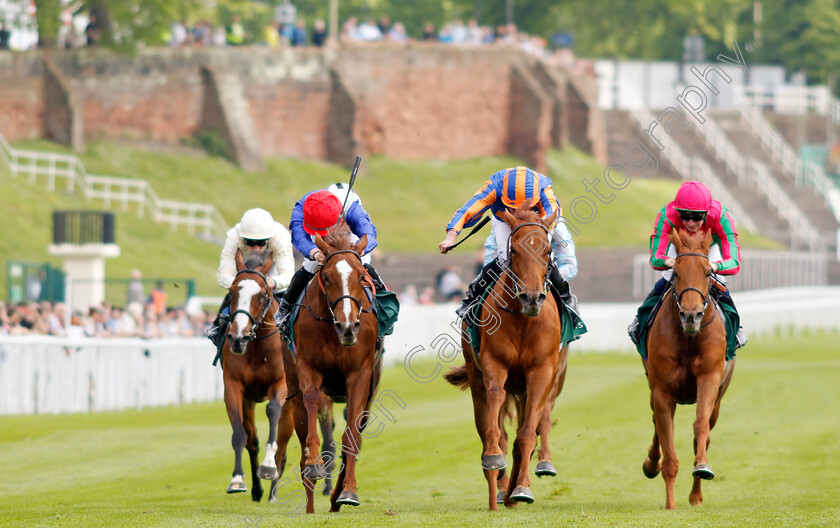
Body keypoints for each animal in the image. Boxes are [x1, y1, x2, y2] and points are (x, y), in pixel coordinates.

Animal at [221, 250, 296, 502]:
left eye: (263, 295)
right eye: (232, 292)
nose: (238, 338)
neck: (256, 347)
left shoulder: (280, 384)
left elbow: (272, 411)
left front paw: (268, 466)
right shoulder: (233, 386)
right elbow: (240, 435)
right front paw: (237, 480)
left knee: (283, 444)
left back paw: (273, 491)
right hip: (249, 401)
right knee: (252, 441)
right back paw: (257, 490)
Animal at [282, 225, 380, 512]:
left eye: (361, 276)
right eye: (326, 276)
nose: (348, 326)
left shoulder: (360, 375)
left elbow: (351, 437)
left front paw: (348, 491)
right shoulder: (308, 367)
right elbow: (313, 404)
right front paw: (315, 463)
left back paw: (337, 496)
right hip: (293, 392)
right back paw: (310, 503)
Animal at [442, 204, 560, 510]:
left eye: (547, 251)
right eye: (515, 250)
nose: (532, 298)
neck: (521, 318)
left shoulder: (541, 372)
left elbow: (527, 434)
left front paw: (523, 488)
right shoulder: (494, 364)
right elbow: (496, 412)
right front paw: (494, 457)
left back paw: (512, 493)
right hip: (477, 378)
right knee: (489, 426)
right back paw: (497, 492)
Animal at [644, 229, 736, 510]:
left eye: (707, 272)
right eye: (675, 273)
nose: (691, 316)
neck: (688, 337)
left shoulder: (709, 379)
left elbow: (700, 426)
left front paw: (702, 467)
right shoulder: (662, 391)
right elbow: (667, 442)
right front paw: (670, 504)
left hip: (719, 397)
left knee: (703, 434)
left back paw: (696, 495)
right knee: (656, 425)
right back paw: (651, 464)